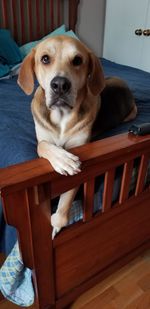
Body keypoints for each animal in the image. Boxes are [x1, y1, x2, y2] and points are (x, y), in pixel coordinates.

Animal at [17, 35, 137, 236]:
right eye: (45, 59)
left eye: (78, 60)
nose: (60, 85)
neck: (61, 116)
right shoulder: (42, 138)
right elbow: (43, 145)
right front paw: (62, 158)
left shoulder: (80, 147)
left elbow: (67, 198)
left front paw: (57, 224)